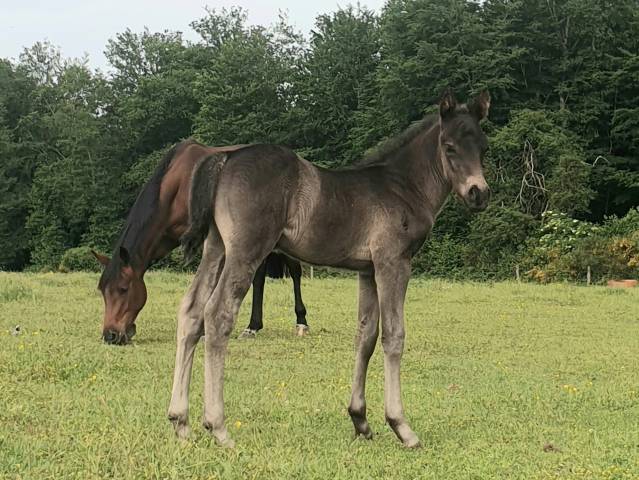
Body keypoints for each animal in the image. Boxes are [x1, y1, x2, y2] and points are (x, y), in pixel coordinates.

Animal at [91, 139, 308, 344]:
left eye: (123, 288)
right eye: (102, 290)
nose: (110, 335)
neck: (176, 188)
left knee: (294, 272)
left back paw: (300, 322)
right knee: (259, 276)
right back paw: (252, 327)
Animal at [169, 89, 490, 446]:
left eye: (483, 147)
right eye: (449, 146)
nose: (478, 194)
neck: (404, 185)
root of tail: (225, 159)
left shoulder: (367, 270)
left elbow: (366, 336)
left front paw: (360, 420)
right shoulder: (394, 262)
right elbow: (394, 336)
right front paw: (402, 426)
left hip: (217, 249)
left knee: (192, 311)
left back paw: (180, 421)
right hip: (245, 251)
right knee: (217, 314)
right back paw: (218, 426)